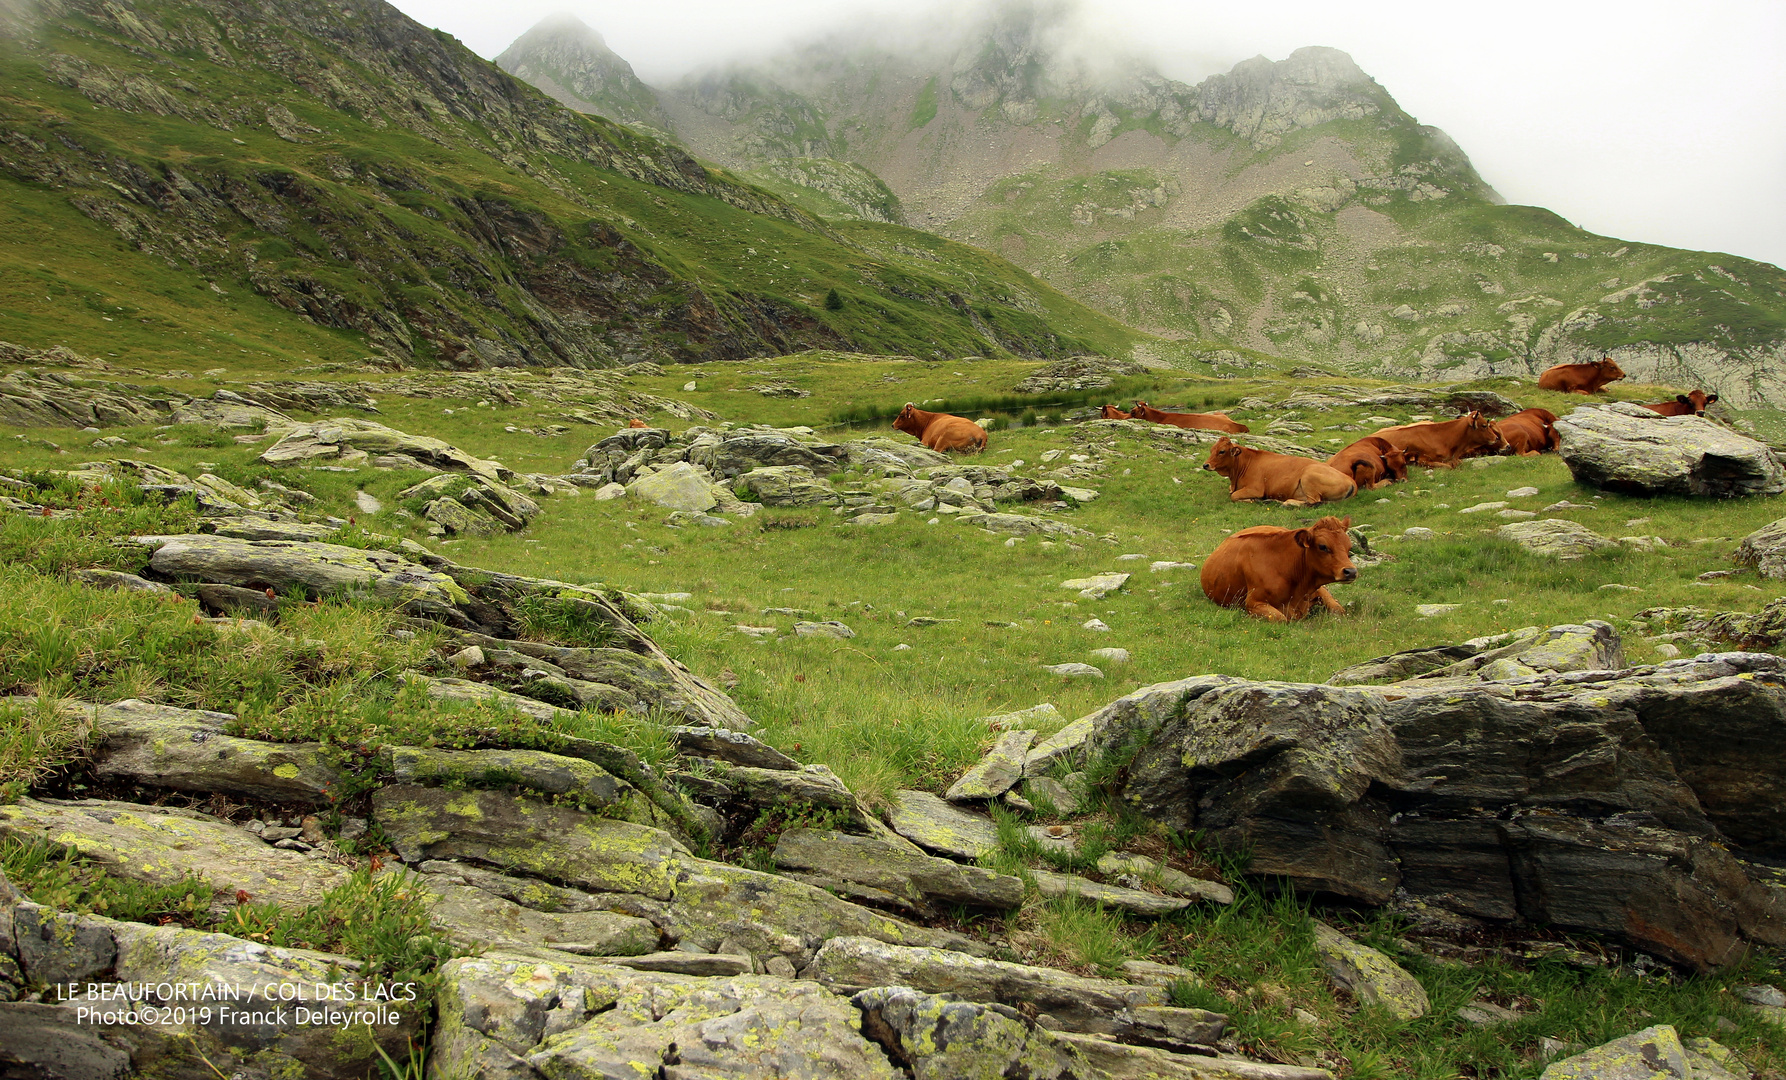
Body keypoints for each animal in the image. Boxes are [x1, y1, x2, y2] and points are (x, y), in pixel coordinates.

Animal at [1200, 435, 1350, 506]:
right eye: (1211, 449)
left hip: (1309, 478)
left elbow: (1234, 496)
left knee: (1313, 502)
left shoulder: (1256, 489)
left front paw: (1251, 500)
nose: (1205, 465)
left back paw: (1284, 503)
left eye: (1222, 451)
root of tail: (1350, 480)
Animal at [1200, 517, 1350, 624]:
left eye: (1349, 546)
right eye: (1322, 546)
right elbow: (1281, 618)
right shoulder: (1254, 602)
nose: (1351, 571)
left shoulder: (1320, 590)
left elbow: (1339, 610)